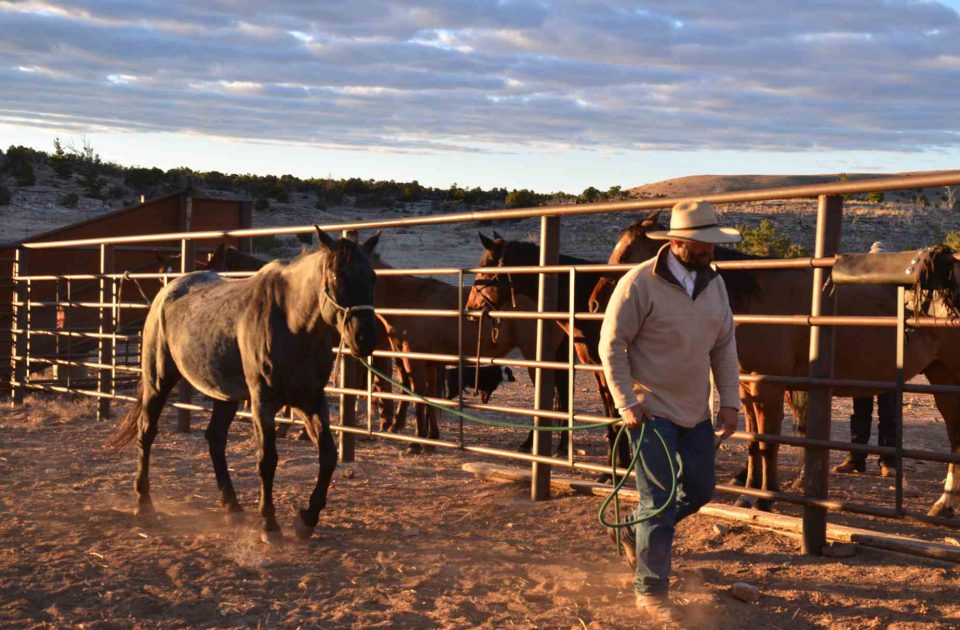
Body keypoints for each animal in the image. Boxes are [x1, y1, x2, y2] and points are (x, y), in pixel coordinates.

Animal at [110, 230, 380, 544]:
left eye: (372, 276)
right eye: (338, 276)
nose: (365, 338)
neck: (291, 321)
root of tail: (168, 290)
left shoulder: (311, 400)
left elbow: (328, 456)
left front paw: (307, 519)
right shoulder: (263, 401)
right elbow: (267, 460)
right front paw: (269, 524)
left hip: (224, 395)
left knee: (215, 438)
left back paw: (232, 507)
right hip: (158, 381)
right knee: (147, 433)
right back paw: (144, 505)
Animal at [592, 215, 960, 520]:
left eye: (627, 254)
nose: (596, 303)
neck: (756, 296)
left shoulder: (766, 386)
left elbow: (768, 443)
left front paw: (765, 499)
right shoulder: (746, 389)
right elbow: (755, 442)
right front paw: (749, 494)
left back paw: (944, 503)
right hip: (942, 377)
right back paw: (945, 505)